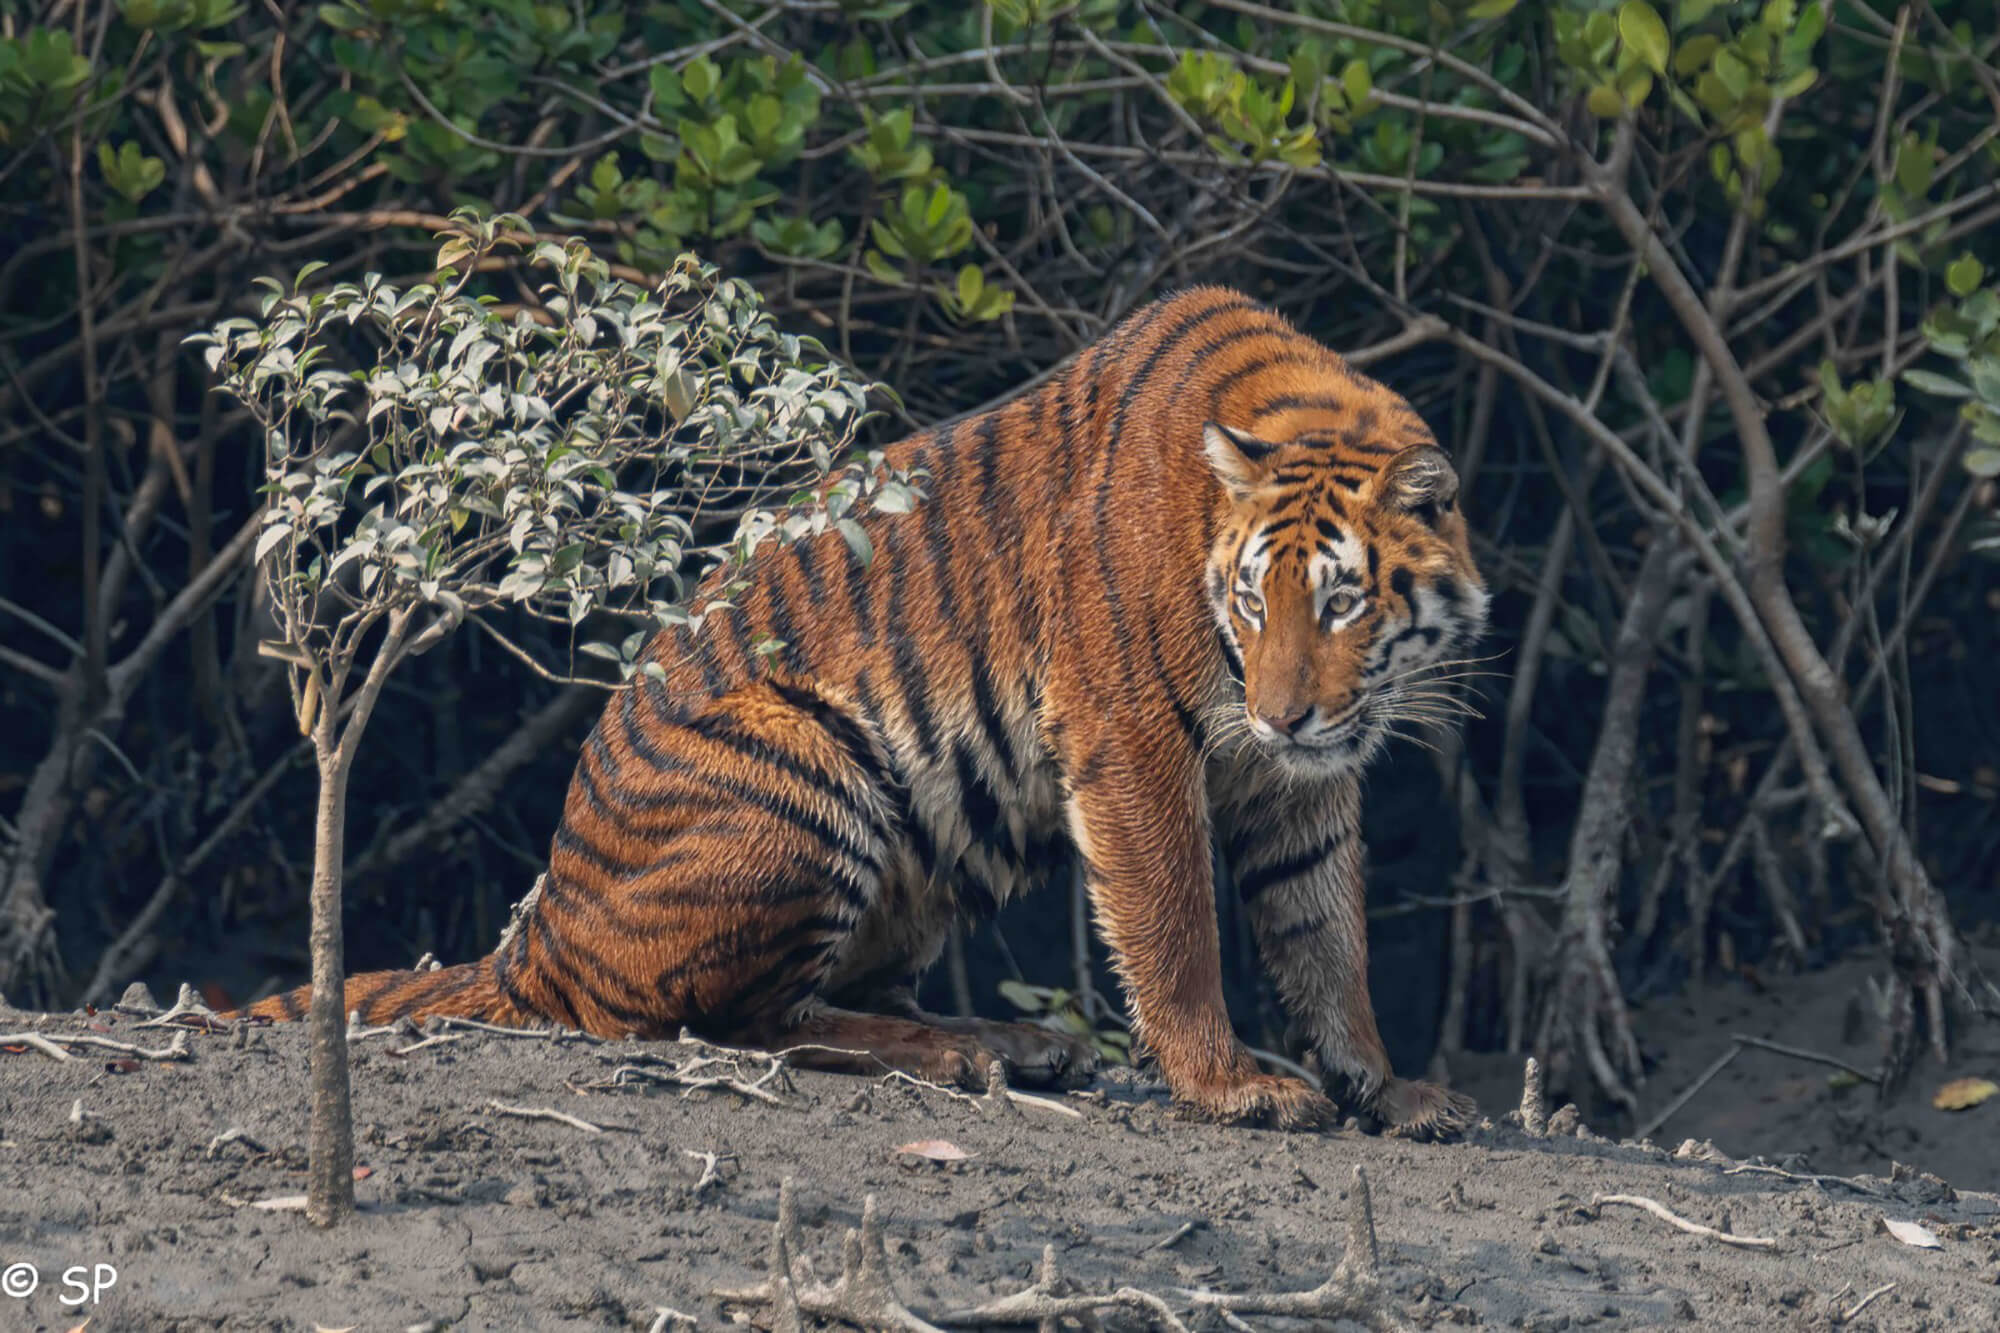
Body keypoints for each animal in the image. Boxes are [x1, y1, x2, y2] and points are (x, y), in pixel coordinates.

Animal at [234, 282, 1488, 1128]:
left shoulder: (1299, 787)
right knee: (733, 1024)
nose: (1282, 719)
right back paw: (968, 1058)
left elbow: (1325, 934)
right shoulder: (1129, 736)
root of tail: (534, 936)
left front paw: (1384, 1087)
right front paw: (1230, 1086)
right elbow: (1175, 926)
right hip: (811, 769)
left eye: (1337, 604)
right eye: (1250, 599)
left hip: (934, 841)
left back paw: (1006, 1041)